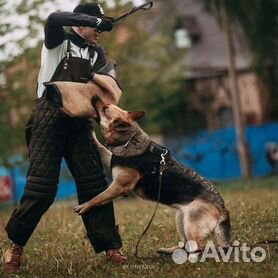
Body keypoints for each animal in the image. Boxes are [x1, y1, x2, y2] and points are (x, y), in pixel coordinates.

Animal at [73, 95, 231, 254]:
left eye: (106, 108)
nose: (94, 96)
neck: (129, 139)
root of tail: (222, 207)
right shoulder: (113, 161)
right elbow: (102, 149)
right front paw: (92, 136)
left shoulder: (119, 186)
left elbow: (98, 197)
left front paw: (85, 206)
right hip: (181, 218)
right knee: (185, 243)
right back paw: (170, 251)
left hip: (190, 224)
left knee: (198, 247)